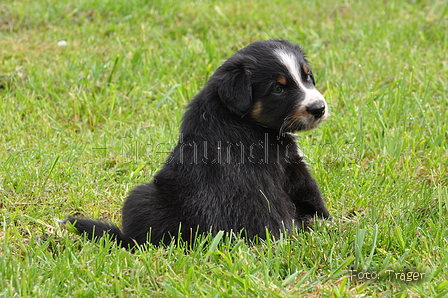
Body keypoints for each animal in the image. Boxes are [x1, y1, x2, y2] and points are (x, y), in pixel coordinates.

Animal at [64, 40, 328, 249]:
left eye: (307, 76)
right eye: (278, 88)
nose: (319, 108)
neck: (237, 116)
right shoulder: (291, 166)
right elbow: (311, 196)